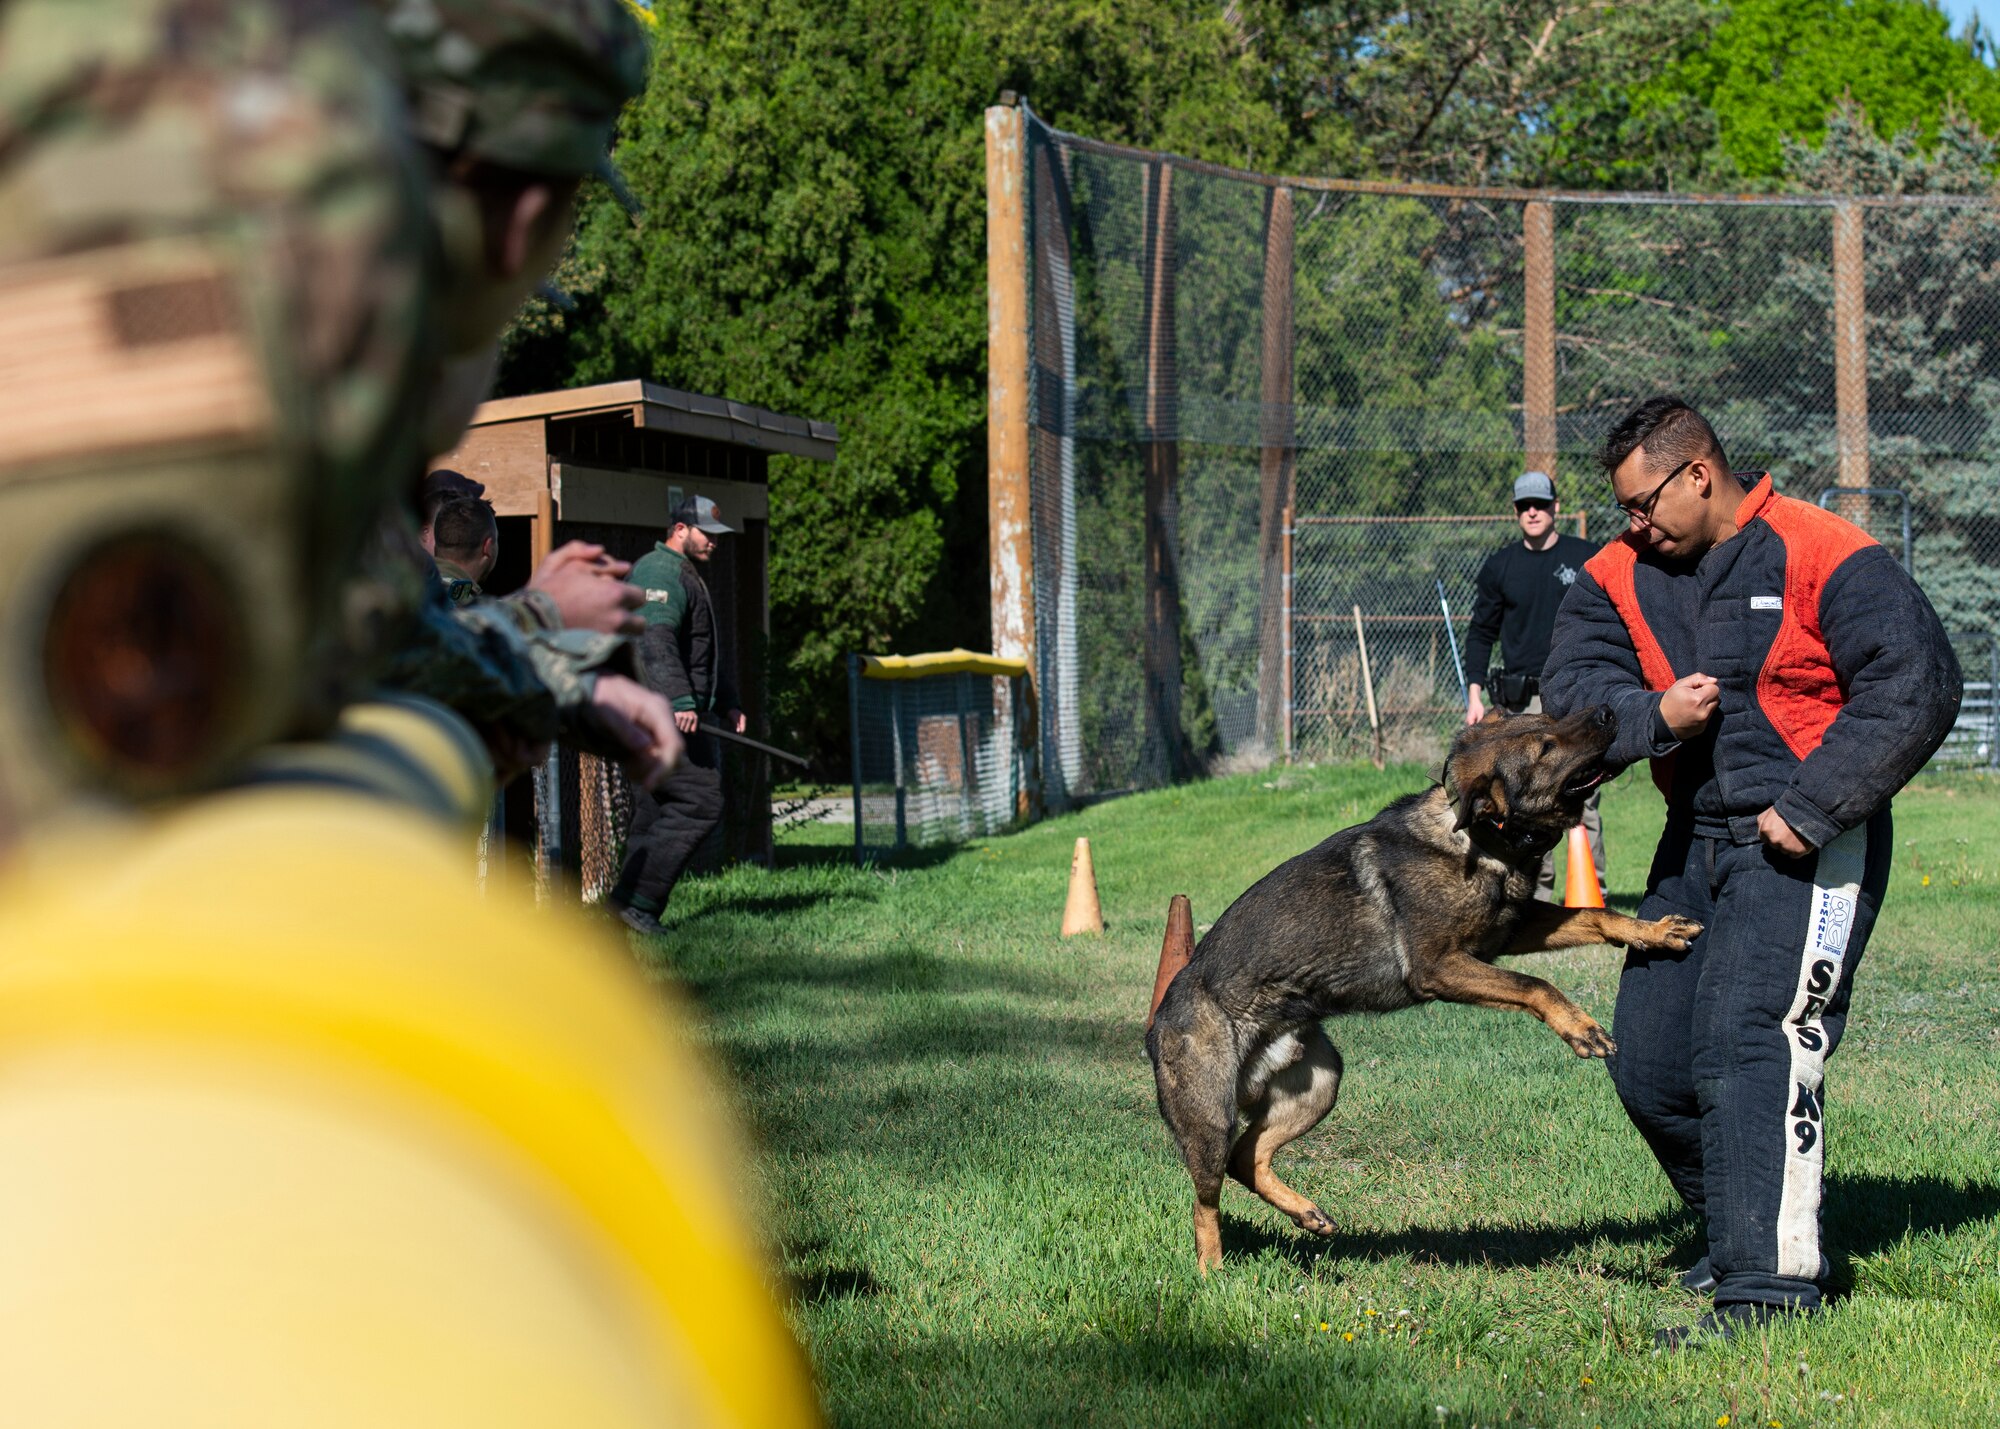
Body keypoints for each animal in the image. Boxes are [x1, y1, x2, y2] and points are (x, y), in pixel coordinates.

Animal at [1152, 704, 1696, 1272]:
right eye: (1544, 746)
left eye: (1547, 716)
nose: (1608, 712)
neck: (1476, 836)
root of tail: (1162, 1013)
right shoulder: (1439, 966)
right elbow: (1536, 984)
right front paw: (1581, 1027)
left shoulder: (1509, 930)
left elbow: (1595, 915)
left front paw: (1653, 932)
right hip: (1211, 1118)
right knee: (1206, 1198)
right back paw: (1213, 1273)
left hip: (1320, 1084)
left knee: (1246, 1157)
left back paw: (1306, 1214)